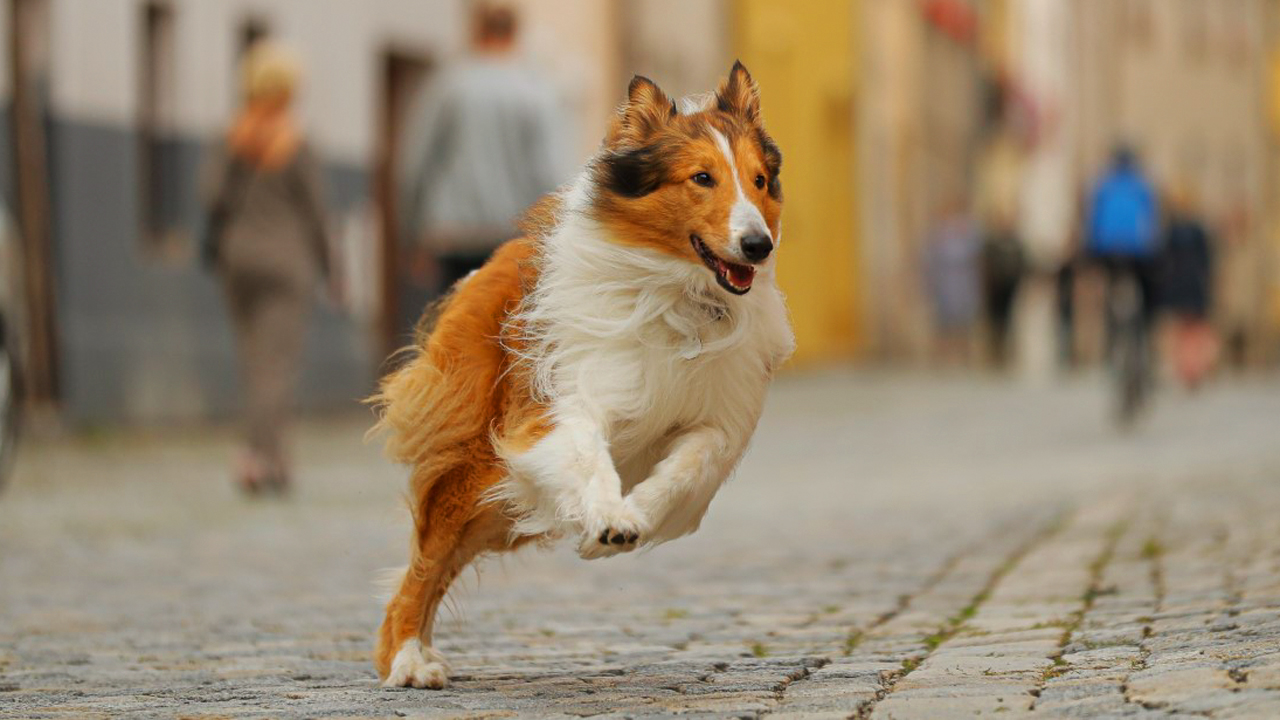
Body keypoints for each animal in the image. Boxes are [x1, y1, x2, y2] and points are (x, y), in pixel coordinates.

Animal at [368, 61, 788, 681]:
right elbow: (589, 457)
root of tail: (483, 268)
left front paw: (624, 523)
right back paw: (406, 660)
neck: (677, 295)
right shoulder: (563, 404)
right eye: (702, 178)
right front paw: (609, 518)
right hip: (478, 467)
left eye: (759, 180)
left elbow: (688, 469)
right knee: (421, 566)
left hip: (498, 506)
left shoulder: (716, 421)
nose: (757, 245)